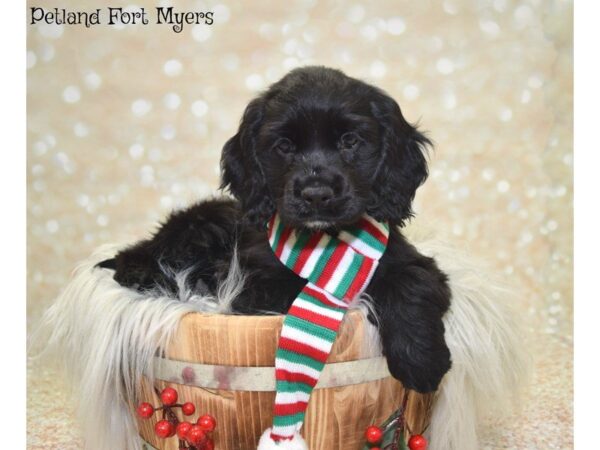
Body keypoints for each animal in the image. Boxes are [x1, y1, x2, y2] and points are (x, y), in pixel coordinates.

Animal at [101, 67, 452, 394]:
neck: (324, 242)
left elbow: (409, 283)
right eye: (284, 146)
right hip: (204, 226)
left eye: (350, 141)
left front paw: (422, 360)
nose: (316, 193)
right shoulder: (253, 284)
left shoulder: (411, 261)